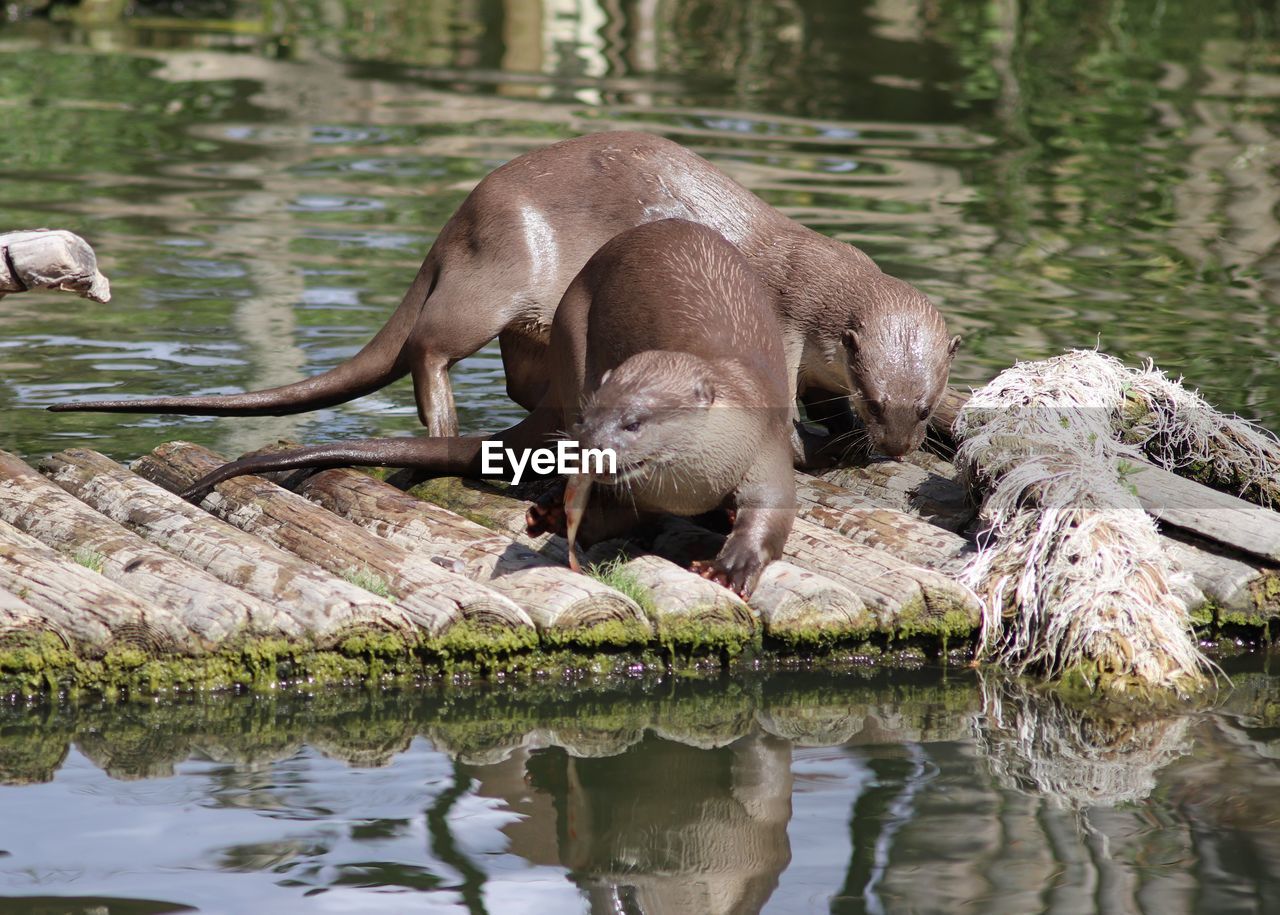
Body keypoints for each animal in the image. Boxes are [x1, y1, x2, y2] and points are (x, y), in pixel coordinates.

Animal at [52, 130, 962, 458]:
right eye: (881, 397)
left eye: (921, 404)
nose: (897, 446)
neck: (815, 287)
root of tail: (459, 219)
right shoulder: (777, 327)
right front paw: (812, 441)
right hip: (502, 270)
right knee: (429, 347)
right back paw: (443, 422)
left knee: (526, 381)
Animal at [180, 218, 798, 598]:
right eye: (589, 421)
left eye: (633, 422)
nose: (589, 451)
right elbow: (612, 519)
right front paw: (550, 516)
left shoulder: (765, 435)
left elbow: (773, 510)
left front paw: (732, 565)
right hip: (573, 326)